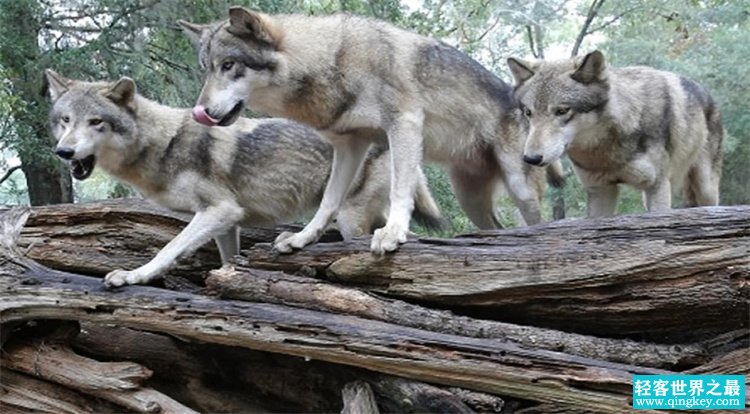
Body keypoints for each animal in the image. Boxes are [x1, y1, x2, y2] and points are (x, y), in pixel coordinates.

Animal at [45, 69, 446, 286]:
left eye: (95, 122)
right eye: (65, 121)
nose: (64, 152)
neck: (163, 143)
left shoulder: (219, 210)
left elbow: (168, 248)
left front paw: (135, 276)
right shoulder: (226, 222)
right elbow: (227, 261)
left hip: (349, 220)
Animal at [175, 8, 552, 256]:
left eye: (228, 66)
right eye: (207, 69)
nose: (201, 112)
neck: (332, 63)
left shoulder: (404, 124)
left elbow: (401, 190)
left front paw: (393, 233)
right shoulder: (349, 145)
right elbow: (327, 202)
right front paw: (302, 239)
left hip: (518, 185)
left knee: (536, 222)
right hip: (469, 200)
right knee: (496, 229)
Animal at [508, 51, 724, 217]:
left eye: (562, 111)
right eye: (528, 113)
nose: (531, 158)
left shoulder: (657, 187)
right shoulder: (601, 190)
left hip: (705, 188)